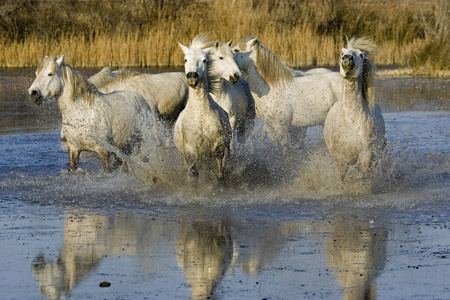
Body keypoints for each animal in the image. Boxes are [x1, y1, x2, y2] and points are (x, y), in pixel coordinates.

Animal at [174, 35, 232, 180]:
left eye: (204, 60)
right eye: (185, 59)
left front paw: (220, 175)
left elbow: (219, 153)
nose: (192, 76)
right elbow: (193, 172)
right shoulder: (189, 149)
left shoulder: (221, 139)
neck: (200, 113)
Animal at [324, 37, 386, 188]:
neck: (350, 118)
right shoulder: (341, 157)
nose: (347, 58)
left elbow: (364, 177)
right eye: (342, 53)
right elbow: (343, 177)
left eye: (361, 55)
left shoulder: (366, 154)